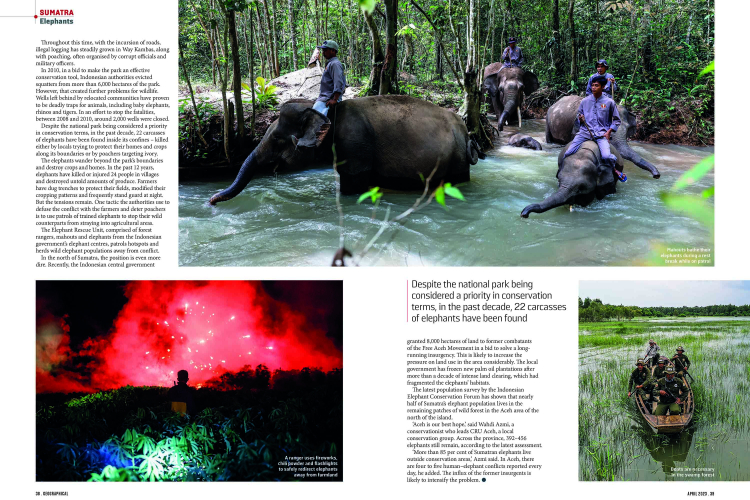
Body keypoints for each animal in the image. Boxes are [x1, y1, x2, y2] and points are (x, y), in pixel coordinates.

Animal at [209, 96, 483, 205]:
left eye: (277, 138)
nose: (211, 200)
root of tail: (465, 130)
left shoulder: (355, 145)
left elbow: (353, 185)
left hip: (457, 160)